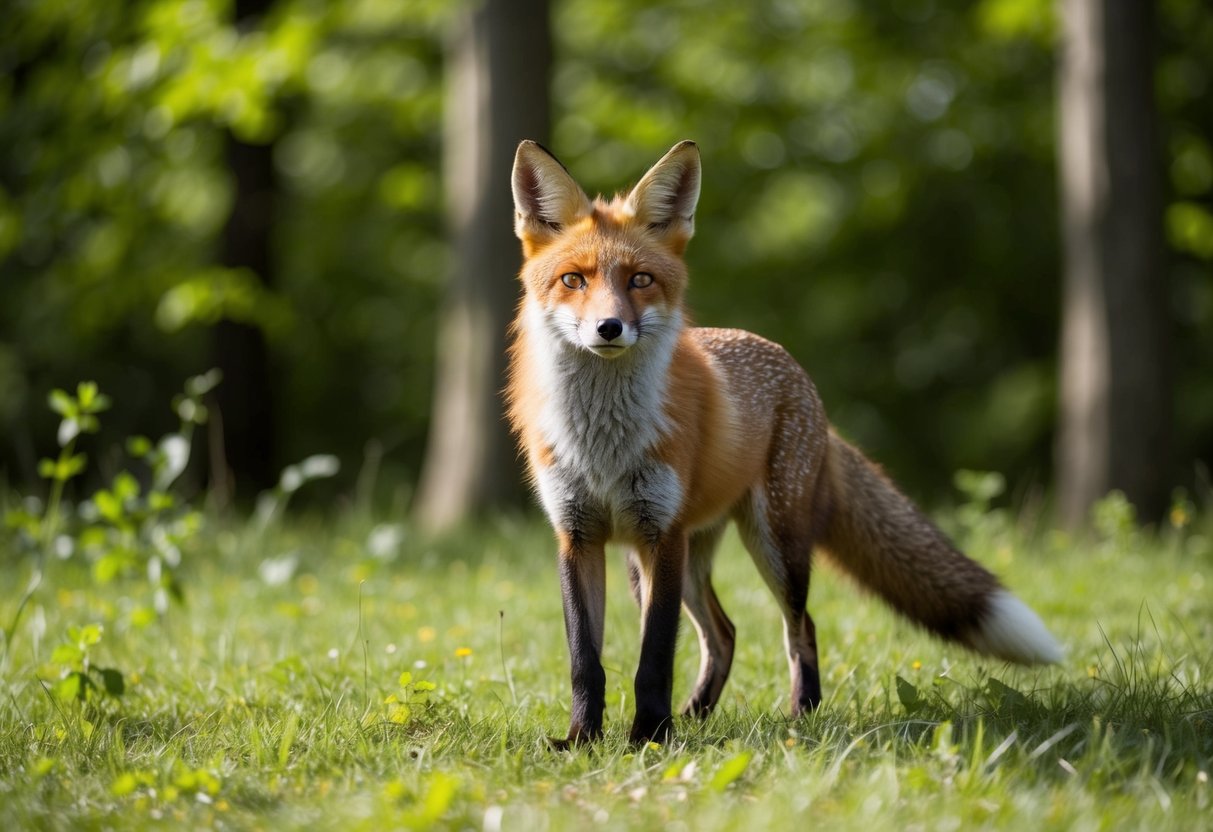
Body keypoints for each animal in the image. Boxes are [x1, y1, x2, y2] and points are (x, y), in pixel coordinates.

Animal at [506, 139, 1062, 747]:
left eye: (640, 280)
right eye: (574, 280)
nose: (609, 328)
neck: (604, 444)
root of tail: (799, 374)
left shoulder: (662, 535)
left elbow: (653, 658)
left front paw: (649, 737)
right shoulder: (577, 535)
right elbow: (586, 659)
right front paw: (582, 739)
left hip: (773, 543)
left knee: (800, 628)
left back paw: (801, 716)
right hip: (662, 561)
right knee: (724, 634)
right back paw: (696, 715)